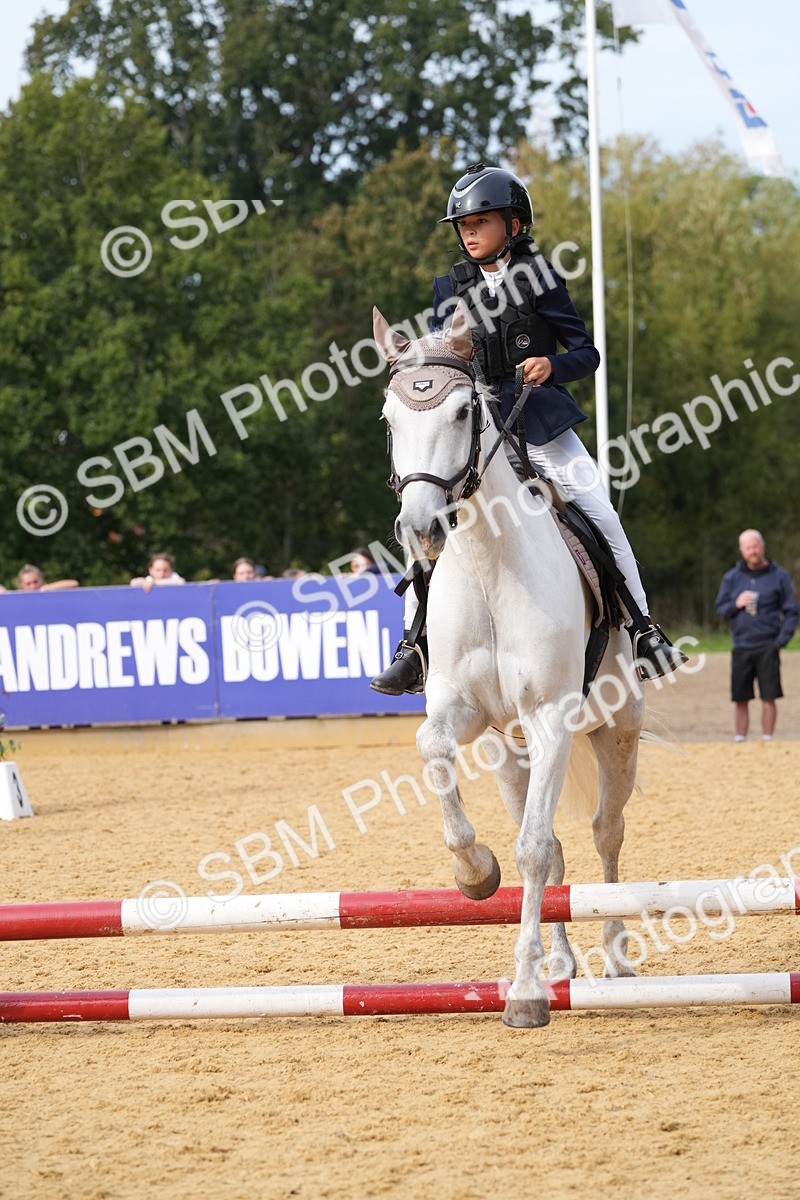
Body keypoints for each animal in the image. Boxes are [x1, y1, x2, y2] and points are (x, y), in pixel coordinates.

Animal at [373, 302, 645, 1028]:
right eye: (389, 417)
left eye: (463, 411)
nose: (422, 528)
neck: (489, 567)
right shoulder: (465, 714)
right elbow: (434, 751)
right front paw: (474, 874)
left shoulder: (552, 718)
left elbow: (535, 846)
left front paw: (524, 994)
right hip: (508, 750)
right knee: (558, 849)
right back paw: (563, 964)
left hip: (616, 731)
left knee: (605, 833)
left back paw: (618, 956)